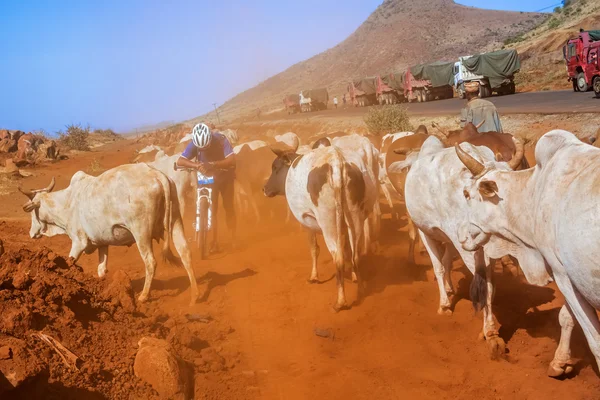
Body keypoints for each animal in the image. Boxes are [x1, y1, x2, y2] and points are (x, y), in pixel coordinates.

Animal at [19, 164, 199, 304]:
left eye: (33, 211)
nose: (31, 233)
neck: (67, 202)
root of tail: (157, 175)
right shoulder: (102, 243)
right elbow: (101, 268)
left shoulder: (78, 242)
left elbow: (70, 263)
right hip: (176, 220)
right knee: (185, 253)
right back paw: (194, 296)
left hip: (141, 231)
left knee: (150, 262)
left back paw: (143, 296)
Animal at [458, 130, 600, 376]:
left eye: (467, 193)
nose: (462, 236)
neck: (534, 192)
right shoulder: (570, 276)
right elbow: (566, 317)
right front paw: (560, 362)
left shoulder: (562, 273)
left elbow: (594, 341)